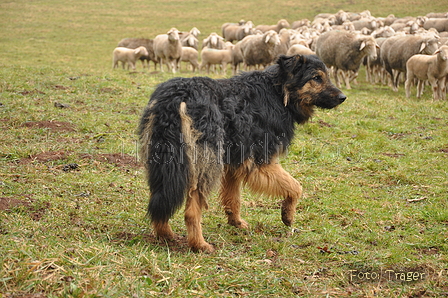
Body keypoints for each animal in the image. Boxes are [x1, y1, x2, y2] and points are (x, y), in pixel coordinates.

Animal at [138, 54, 344, 251]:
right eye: (316, 78)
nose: (343, 97)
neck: (278, 91)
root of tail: (179, 95)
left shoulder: (235, 161)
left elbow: (233, 198)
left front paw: (236, 222)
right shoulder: (260, 161)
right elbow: (295, 186)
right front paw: (288, 215)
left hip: (163, 161)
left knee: (160, 199)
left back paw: (164, 233)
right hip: (205, 164)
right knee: (190, 212)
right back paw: (199, 244)